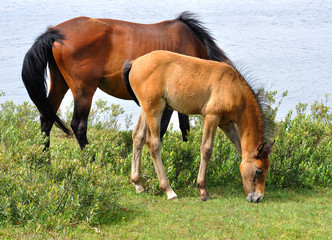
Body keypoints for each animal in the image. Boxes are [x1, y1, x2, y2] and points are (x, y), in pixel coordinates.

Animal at [22, 12, 230, 150]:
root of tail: (55, 33)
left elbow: (184, 127)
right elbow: (161, 129)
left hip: (59, 83)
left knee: (46, 118)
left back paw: (44, 160)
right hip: (84, 91)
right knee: (78, 126)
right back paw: (91, 159)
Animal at [123, 50, 274, 202]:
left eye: (267, 169)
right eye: (258, 171)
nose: (258, 198)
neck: (235, 88)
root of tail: (135, 63)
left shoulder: (226, 123)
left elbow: (239, 148)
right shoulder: (211, 117)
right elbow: (206, 150)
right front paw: (203, 190)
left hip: (146, 109)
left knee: (138, 136)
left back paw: (138, 184)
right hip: (155, 109)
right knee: (153, 143)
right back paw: (169, 191)